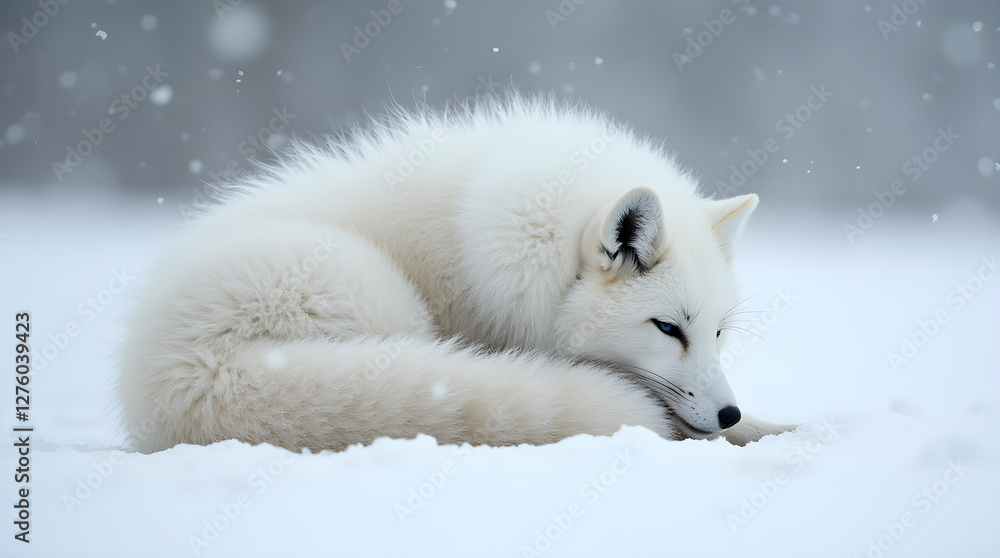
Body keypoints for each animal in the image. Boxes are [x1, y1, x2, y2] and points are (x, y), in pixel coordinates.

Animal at [118, 94, 794, 453]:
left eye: (718, 333)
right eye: (667, 328)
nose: (728, 413)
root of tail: (184, 379)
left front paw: (775, 427)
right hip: (374, 294)